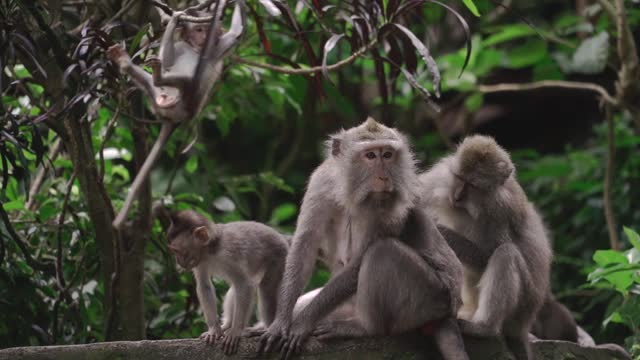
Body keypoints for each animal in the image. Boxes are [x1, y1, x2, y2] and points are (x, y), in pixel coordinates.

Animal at [109, 0, 244, 229]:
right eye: (198, 30)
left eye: (205, 30)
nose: (202, 36)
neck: (196, 50)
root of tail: (173, 117)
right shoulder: (183, 47)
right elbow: (169, 60)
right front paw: (174, 21)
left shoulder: (216, 49)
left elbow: (236, 33)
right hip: (155, 97)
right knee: (154, 79)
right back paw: (130, 65)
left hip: (188, 102)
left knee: (190, 82)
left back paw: (158, 76)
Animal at [156, 207, 286, 352]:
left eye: (177, 251)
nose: (178, 262)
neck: (212, 248)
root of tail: (282, 237)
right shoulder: (200, 261)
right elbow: (204, 285)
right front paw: (214, 329)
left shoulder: (229, 254)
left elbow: (245, 284)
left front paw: (236, 331)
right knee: (235, 289)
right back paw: (227, 325)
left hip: (279, 258)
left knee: (265, 289)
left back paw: (264, 329)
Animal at [258, 118, 470, 360]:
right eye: (370, 156)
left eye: (387, 155)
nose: (384, 178)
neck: (351, 192)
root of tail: (449, 314)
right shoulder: (321, 182)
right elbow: (305, 247)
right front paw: (280, 323)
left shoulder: (389, 208)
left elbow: (358, 264)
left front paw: (302, 323)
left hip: (431, 298)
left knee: (382, 251)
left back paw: (364, 327)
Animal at [422, 136, 552, 360]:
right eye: (459, 177)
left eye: (472, 184)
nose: (456, 196)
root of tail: (524, 326)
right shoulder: (442, 179)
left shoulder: (502, 209)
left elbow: (486, 258)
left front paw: (441, 231)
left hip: (521, 309)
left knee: (506, 254)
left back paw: (484, 328)